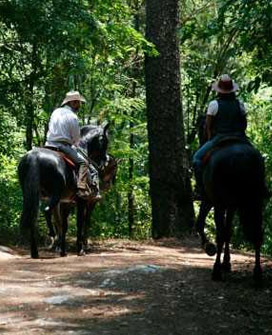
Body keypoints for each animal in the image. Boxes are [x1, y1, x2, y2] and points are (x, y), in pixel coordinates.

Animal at [200, 140, 266, 284]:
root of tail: (241, 158)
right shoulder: (231, 207)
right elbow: (229, 232)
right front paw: (226, 262)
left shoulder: (215, 203)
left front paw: (210, 249)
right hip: (257, 203)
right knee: (257, 234)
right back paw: (257, 274)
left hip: (220, 205)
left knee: (220, 235)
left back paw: (216, 272)